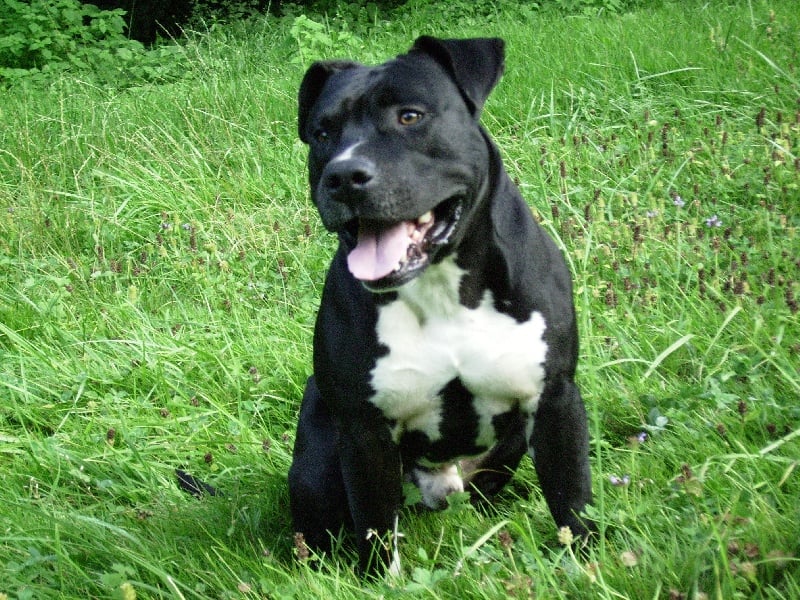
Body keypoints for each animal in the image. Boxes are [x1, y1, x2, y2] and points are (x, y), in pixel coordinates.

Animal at [290, 34, 592, 576]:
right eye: (323, 132)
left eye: (410, 116)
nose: (344, 174)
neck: (442, 287)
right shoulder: (364, 434)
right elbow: (374, 528)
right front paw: (379, 581)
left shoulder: (556, 399)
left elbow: (572, 498)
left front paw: (589, 564)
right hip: (317, 455)